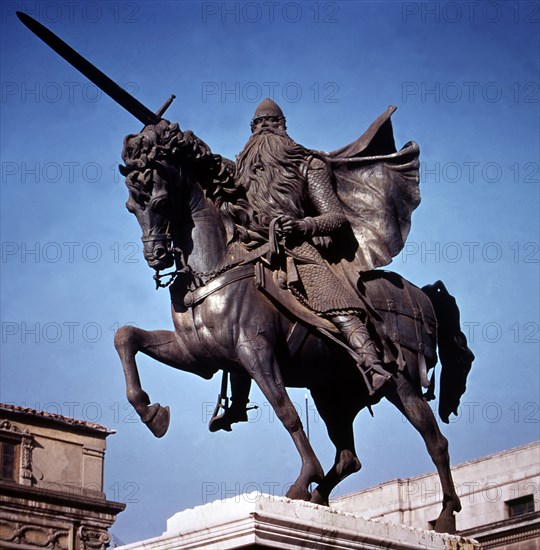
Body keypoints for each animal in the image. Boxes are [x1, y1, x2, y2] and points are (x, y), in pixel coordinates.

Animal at [114, 119, 472, 536]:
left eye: (158, 201)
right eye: (131, 206)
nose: (155, 256)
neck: (214, 267)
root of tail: (422, 295)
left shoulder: (255, 352)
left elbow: (286, 411)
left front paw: (304, 478)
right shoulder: (198, 356)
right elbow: (126, 337)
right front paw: (151, 413)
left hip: (402, 384)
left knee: (435, 441)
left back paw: (445, 518)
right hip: (333, 394)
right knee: (349, 457)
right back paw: (320, 499)